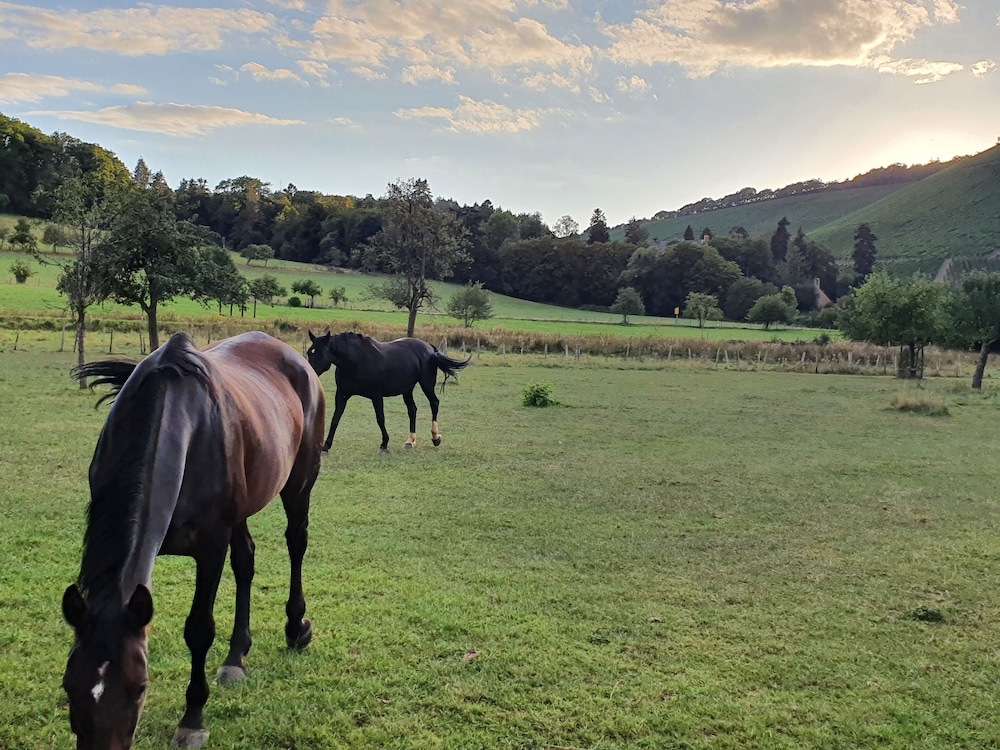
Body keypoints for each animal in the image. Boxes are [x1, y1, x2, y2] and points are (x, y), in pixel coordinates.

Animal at [62, 331, 325, 750]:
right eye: (69, 686)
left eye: (139, 687)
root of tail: (297, 359)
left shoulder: (211, 547)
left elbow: (199, 630)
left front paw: (193, 719)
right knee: (246, 561)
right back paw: (236, 657)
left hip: (299, 483)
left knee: (296, 542)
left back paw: (296, 628)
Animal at [306, 329, 471, 453]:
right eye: (309, 352)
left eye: (320, 353)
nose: (309, 372)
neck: (356, 360)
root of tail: (429, 348)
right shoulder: (342, 394)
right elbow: (335, 419)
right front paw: (326, 446)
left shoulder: (376, 396)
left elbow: (380, 419)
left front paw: (384, 444)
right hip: (407, 390)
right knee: (412, 410)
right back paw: (410, 441)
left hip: (427, 384)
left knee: (434, 403)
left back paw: (435, 438)